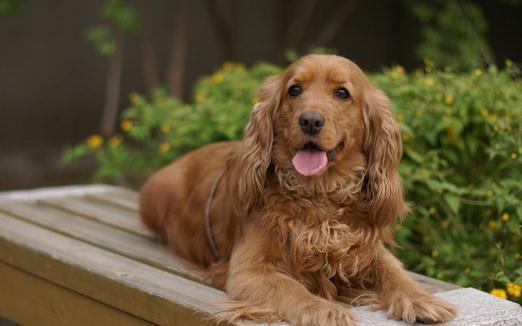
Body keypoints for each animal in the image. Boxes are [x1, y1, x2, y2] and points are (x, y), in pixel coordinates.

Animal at [138, 54, 456, 324]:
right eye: (294, 90)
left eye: (342, 93)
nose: (310, 120)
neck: (319, 196)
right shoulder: (249, 270)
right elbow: (291, 288)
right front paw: (323, 310)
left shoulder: (368, 249)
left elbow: (395, 273)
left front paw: (420, 299)